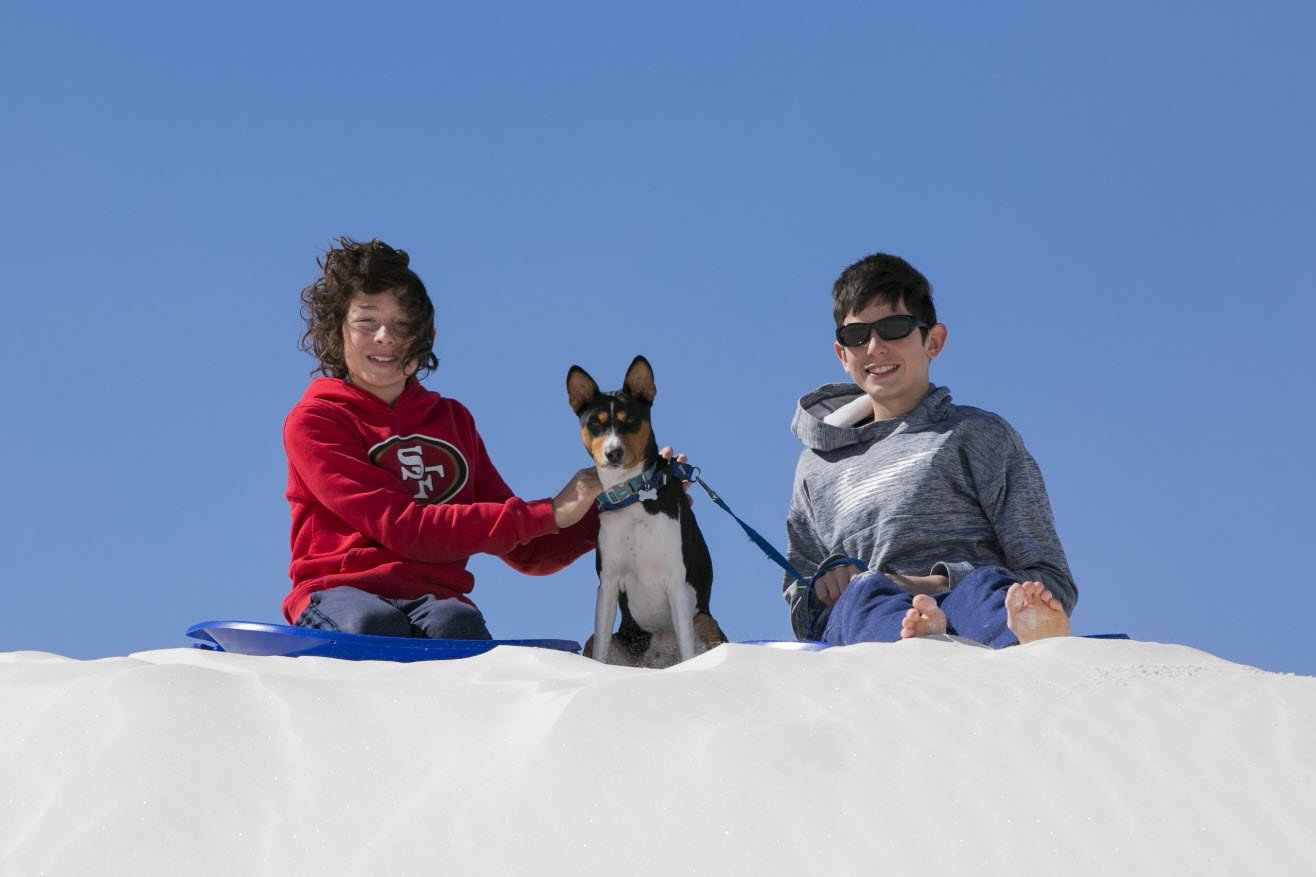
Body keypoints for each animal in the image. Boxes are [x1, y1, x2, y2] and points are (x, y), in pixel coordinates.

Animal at [565, 352, 726, 663]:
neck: (633, 494)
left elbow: (688, 650)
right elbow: (600, 652)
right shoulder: (608, 583)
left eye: (630, 420)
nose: (613, 453)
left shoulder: (676, 581)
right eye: (595, 424)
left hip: (704, 619)